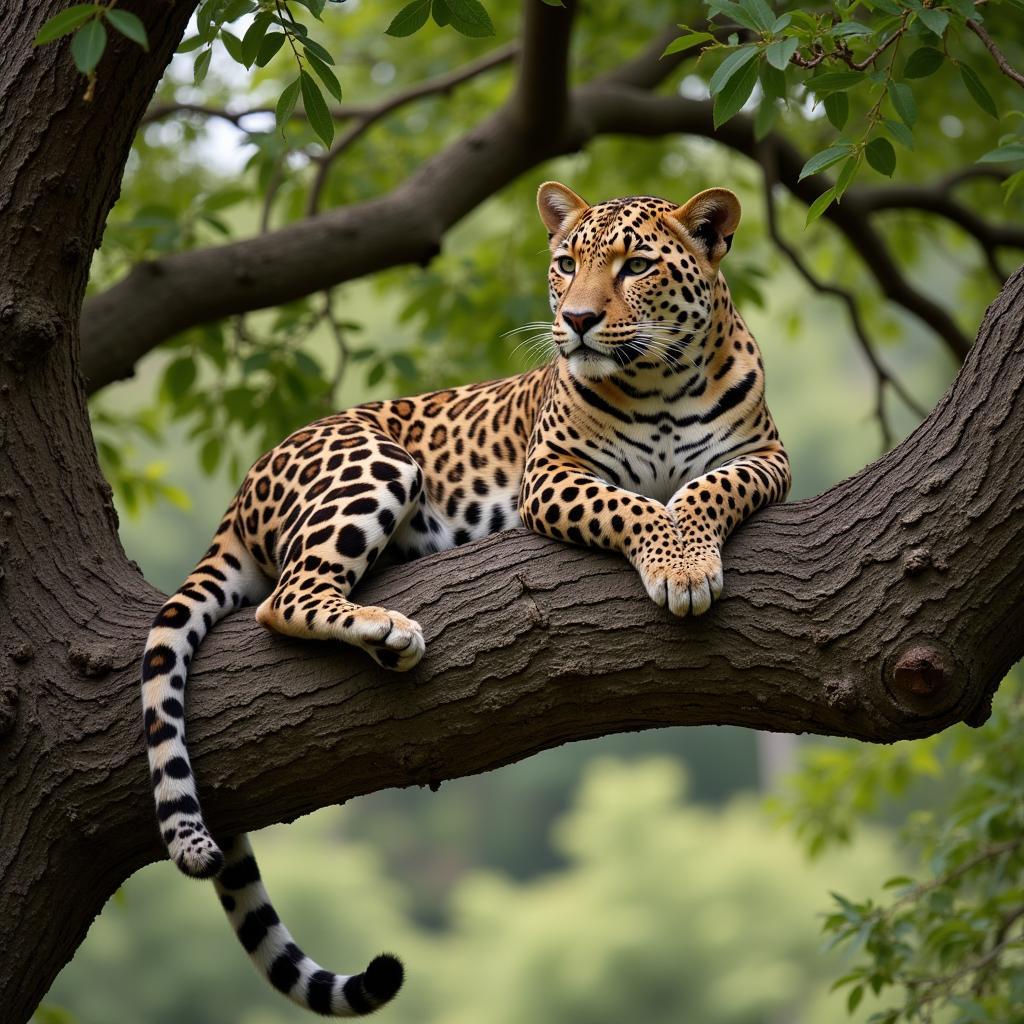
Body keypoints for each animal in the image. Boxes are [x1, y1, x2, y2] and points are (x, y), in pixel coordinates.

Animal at [138, 182, 790, 1015]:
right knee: (285, 595)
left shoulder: (767, 457)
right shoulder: (552, 475)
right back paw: (387, 631)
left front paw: (689, 556)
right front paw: (677, 567)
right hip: (373, 464)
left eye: (636, 266)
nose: (578, 320)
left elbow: (711, 486)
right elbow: (632, 506)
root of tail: (246, 483)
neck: (660, 382)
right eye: (565, 264)